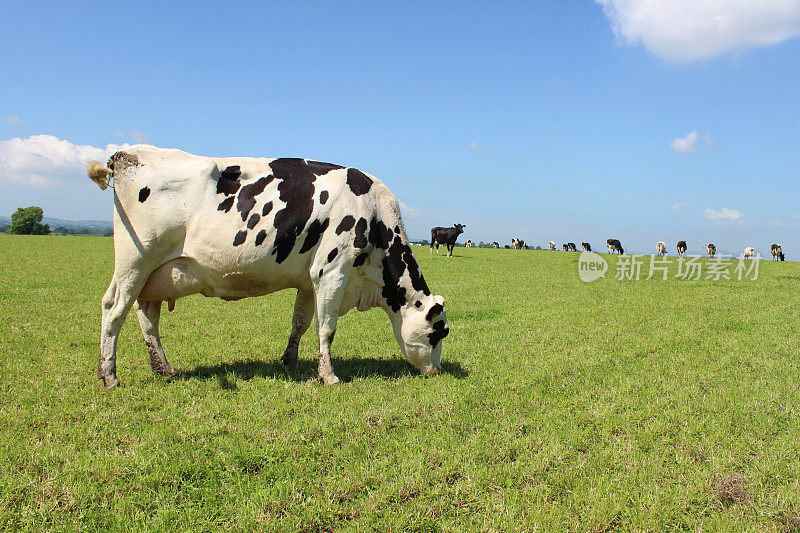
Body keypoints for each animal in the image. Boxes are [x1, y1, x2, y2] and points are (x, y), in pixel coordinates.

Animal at [90, 145, 450, 386]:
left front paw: (289, 362)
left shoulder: (309, 279)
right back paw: (109, 376)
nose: (438, 370)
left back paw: (163, 369)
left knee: (147, 316)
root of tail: (127, 153)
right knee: (114, 308)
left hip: (155, 273)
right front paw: (329, 376)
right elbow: (327, 328)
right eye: (438, 332)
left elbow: (300, 323)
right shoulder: (332, 272)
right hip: (135, 261)